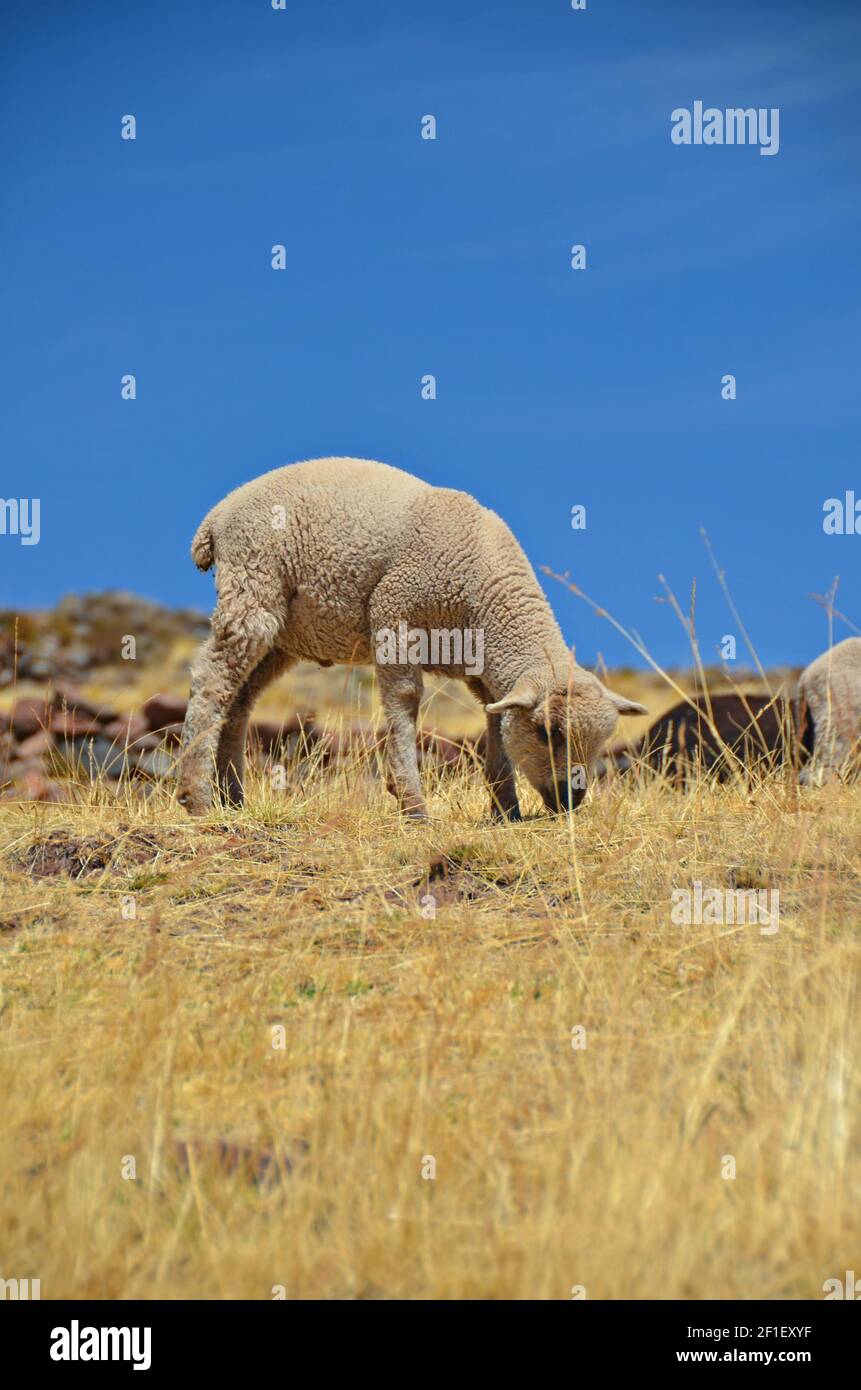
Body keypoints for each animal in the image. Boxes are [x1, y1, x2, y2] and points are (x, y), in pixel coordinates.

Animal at [175, 455, 645, 822]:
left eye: (602, 741)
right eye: (548, 733)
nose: (571, 800)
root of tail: (217, 516)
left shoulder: (479, 666)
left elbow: (495, 719)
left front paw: (505, 807)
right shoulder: (395, 611)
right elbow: (404, 700)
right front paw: (412, 803)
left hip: (282, 632)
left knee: (239, 698)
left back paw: (233, 798)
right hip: (254, 584)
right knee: (213, 680)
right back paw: (196, 797)